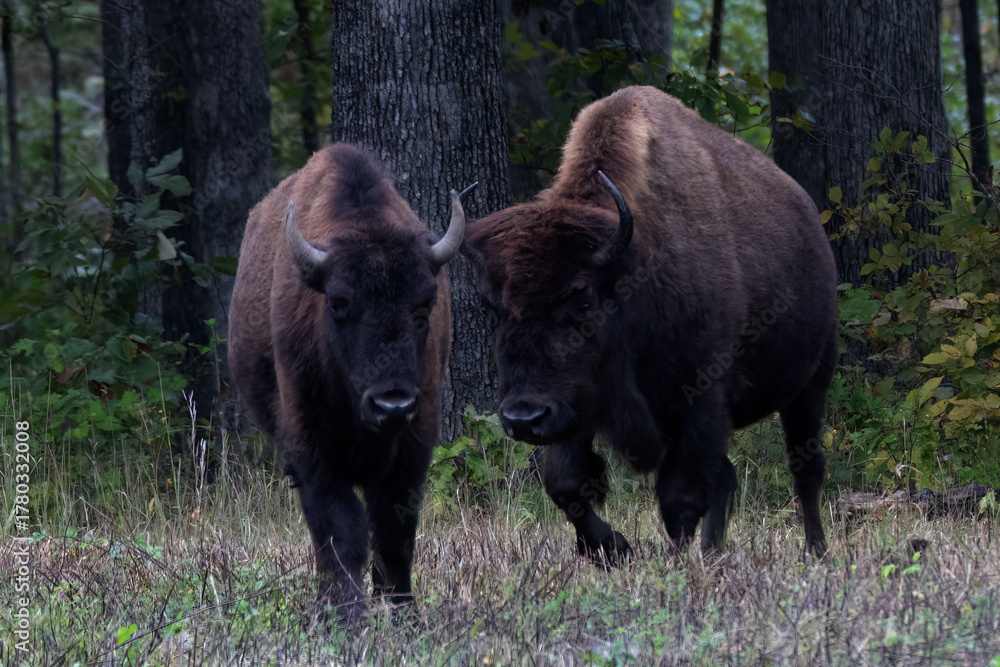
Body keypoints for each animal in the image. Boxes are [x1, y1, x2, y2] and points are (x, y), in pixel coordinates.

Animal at [229, 143, 474, 618]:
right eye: (340, 303)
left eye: (425, 304)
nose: (392, 404)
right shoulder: (312, 447)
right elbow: (341, 530)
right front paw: (345, 614)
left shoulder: (415, 442)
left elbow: (394, 532)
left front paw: (403, 612)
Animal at [465, 86, 837, 563]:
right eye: (490, 307)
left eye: (583, 301)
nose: (523, 418)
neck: (631, 269)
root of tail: (812, 223)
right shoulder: (574, 406)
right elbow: (566, 485)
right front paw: (613, 549)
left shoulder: (701, 398)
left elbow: (680, 498)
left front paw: (668, 564)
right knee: (728, 477)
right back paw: (712, 555)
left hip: (810, 385)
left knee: (805, 469)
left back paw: (815, 552)